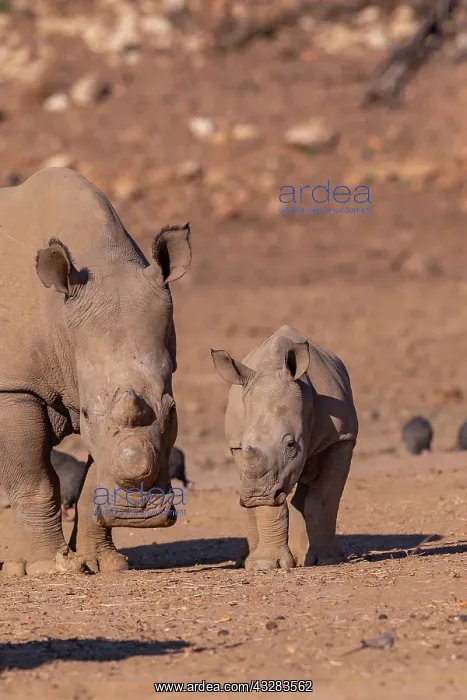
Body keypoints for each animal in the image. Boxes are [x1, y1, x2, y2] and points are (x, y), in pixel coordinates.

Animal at [0, 167, 191, 576]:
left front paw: (104, 564)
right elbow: (34, 478)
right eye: (85, 413)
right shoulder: (15, 387)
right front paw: (45, 567)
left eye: (173, 411)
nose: (138, 515)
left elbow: (94, 476)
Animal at [211, 325, 358, 570]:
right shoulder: (242, 452)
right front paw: (265, 565)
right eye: (245, 444)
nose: (256, 495)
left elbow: (322, 501)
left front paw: (328, 559)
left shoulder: (340, 439)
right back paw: (247, 561)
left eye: (291, 445)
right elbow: (269, 506)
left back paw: (304, 557)